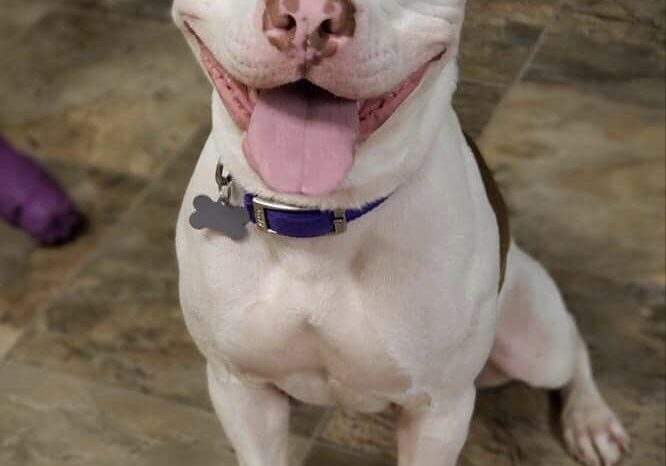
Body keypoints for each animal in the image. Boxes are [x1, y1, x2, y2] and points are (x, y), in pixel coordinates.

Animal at [171, 1, 628, 464]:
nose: (310, 14)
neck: (313, 221)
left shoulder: (440, 411)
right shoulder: (240, 389)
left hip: (533, 341)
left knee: (574, 347)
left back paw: (590, 421)